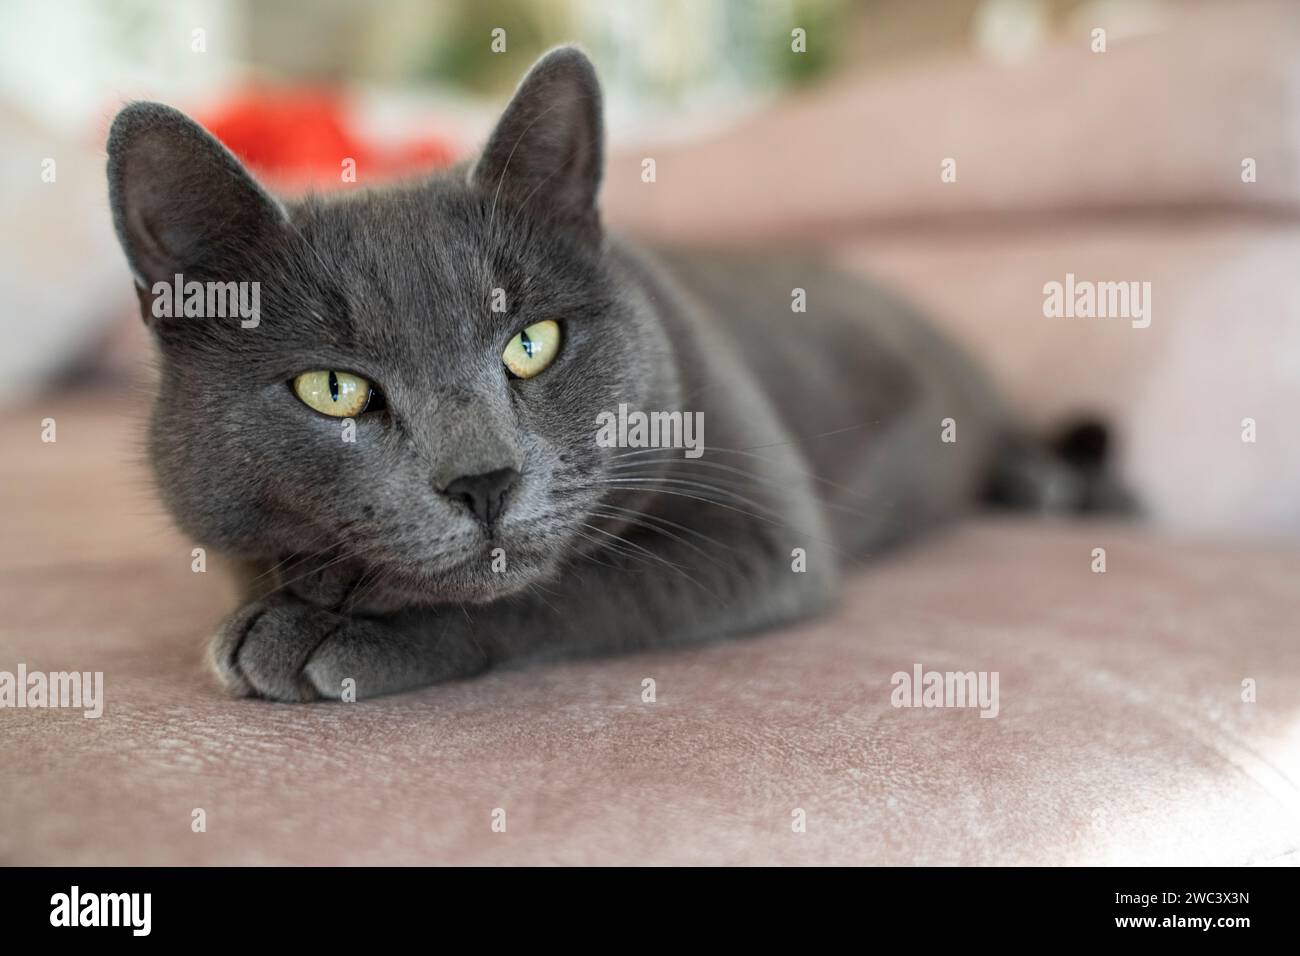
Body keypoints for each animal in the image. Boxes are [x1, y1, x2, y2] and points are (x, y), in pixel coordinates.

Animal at [106, 46, 1107, 702]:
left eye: (532, 343)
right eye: (334, 390)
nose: (483, 480)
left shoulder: (765, 532)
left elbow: (565, 588)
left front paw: (329, 628)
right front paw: (293, 601)